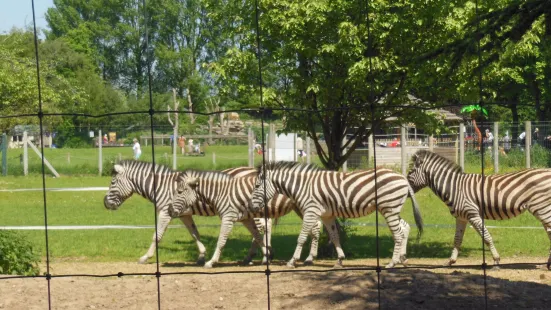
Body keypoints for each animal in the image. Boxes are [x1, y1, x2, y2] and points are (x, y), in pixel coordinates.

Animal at [103, 161, 272, 266]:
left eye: (112, 182)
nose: (105, 203)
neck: (160, 186)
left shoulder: (165, 212)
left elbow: (157, 236)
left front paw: (145, 257)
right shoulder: (184, 214)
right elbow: (194, 233)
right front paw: (202, 256)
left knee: (264, 227)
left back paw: (263, 256)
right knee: (261, 229)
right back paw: (253, 256)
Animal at [168, 168, 324, 268]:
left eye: (179, 191)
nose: (169, 210)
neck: (222, 193)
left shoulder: (228, 218)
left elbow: (221, 241)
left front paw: (211, 262)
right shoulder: (245, 218)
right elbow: (258, 237)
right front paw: (267, 255)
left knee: (315, 227)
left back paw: (309, 258)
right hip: (300, 208)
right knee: (315, 227)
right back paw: (309, 257)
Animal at [248, 161, 424, 268]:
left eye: (256, 186)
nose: (250, 206)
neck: (302, 186)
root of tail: (402, 177)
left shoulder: (311, 211)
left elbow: (302, 237)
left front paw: (292, 261)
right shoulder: (327, 215)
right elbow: (334, 236)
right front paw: (340, 260)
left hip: (389, 208)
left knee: (398, 234)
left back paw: (392, 263)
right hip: (391, 209)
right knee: (405, 228)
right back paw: (402, 259)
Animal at [408, 149, 551, 268]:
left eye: (411, 172)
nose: (408, 193)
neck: (454, 187)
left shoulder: (473, 214)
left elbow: (486, 237)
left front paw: (496, 260)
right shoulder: (461, 217)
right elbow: (457, 239)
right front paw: (450, 261)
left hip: (542, 208)